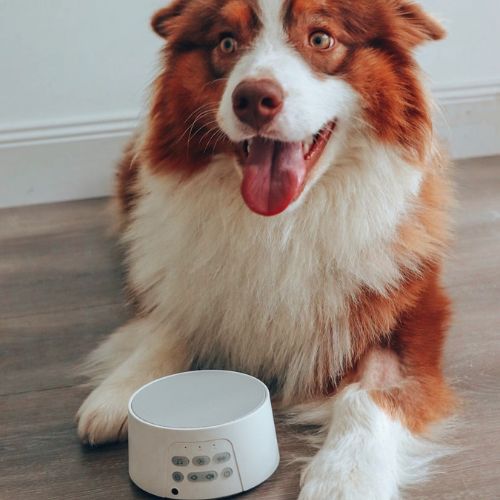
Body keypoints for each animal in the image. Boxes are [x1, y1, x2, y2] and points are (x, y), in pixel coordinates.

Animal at [76, 1, 456, 498]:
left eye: (321, 38)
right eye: (226, 42)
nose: (253, 98)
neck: (281, 224)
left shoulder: (409, 315)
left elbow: (370, 394)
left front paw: (344, 476)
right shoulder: (176, 274)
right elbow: (170, 321)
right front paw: (119, 392)